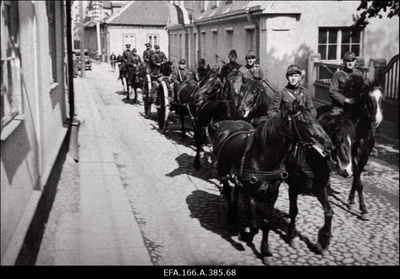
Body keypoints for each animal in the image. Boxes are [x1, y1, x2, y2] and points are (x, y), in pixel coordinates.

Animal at [209, 101, 334, 266]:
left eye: (317, 119)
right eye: (305, 122)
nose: (329, 147)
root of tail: (228, 123)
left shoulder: (283, 192)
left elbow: (328, 212)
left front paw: (323, 241)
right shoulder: (261, 192)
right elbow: (258, 225)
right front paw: (246, 236)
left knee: (236, 192)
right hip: (224, 174)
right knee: (229, 192)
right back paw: (232, 218)